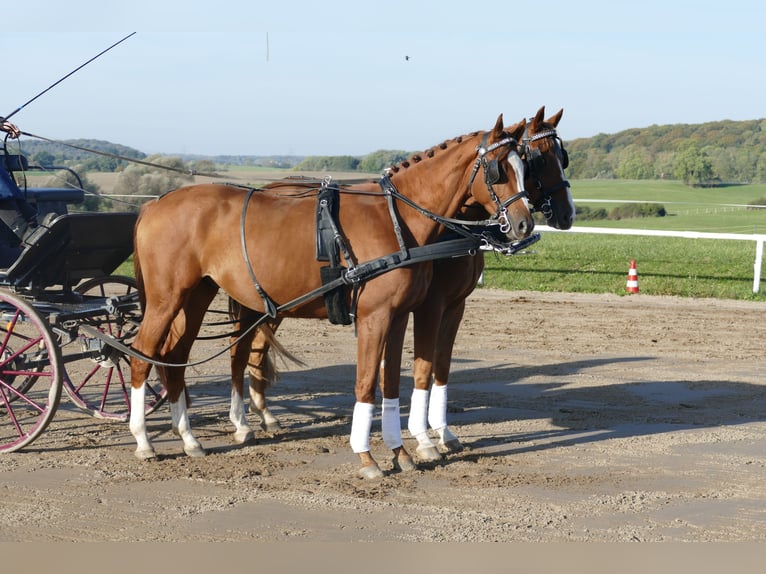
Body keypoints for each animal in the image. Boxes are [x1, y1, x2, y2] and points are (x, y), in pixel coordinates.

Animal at [130, 115, 536, 480]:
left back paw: (189, 438)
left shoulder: (399, 316)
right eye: (499, 169)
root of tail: (154, 204)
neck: (396, 218)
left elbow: (390, 383)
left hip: (197, 295)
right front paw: (367, 457)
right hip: (166, 299)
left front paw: (399, 452)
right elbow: (366, 383)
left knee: (174, 358)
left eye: (524, 165)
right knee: (142, 355)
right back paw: (144, 440)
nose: (524, 224)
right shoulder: (377, 316)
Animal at [225, 107, 572, 464]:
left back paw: (264, 415)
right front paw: (423, 438)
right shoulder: (429, 306)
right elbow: (422, 369)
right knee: (239, 350)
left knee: (254, 348)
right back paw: (242, 422)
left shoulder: (453, 306)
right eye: (537, 159)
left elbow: (440, 367)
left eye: (557, 158)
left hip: (269, 303)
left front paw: (443, 433)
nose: (564, 215)